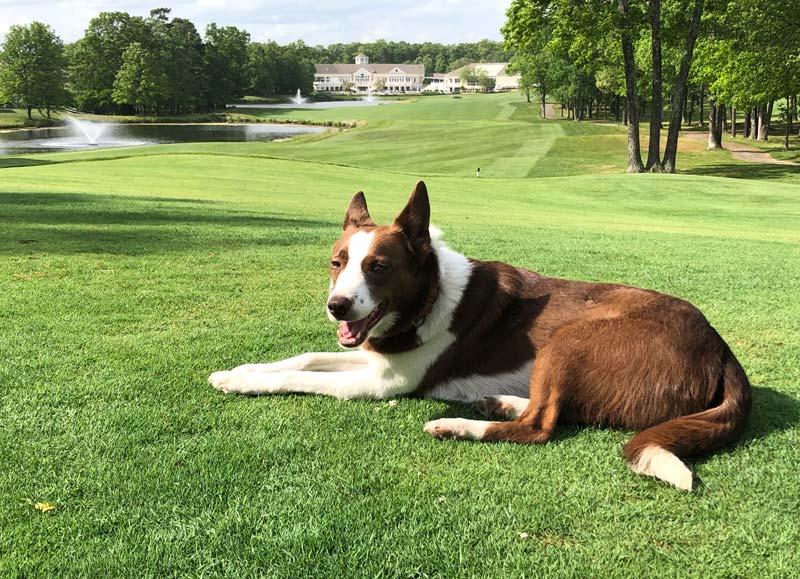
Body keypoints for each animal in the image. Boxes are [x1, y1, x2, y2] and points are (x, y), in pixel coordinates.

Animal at [211, 180, 752, 490]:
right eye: (336, 262)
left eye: (378, 267)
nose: (336, 305)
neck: (427, 300)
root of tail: (721, 349)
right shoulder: (374, 357)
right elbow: (302, 358)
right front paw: (240, 369)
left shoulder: (382, 383)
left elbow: (301, 379)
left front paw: (244, 382)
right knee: (550, 408)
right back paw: (498, 402)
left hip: (570, 339)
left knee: (540, 427)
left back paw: (460, 425)